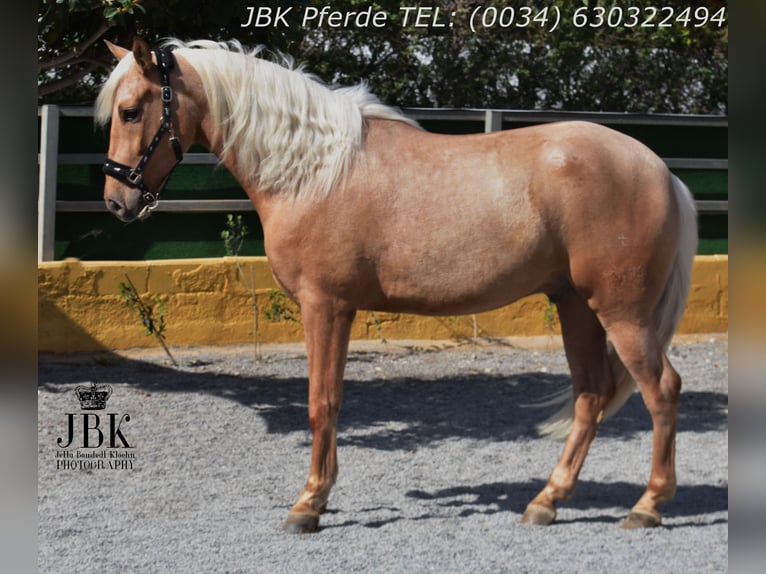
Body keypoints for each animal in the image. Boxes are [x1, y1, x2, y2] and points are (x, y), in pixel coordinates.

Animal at [97, 38, 697, 534]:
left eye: (131, 111)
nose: (116, 202)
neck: (315, 172)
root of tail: (661, 171)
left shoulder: (326, 307)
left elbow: (322, 403)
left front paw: (309, 504)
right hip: (577, 308)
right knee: (591, 396)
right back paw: (546, 501)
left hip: (622, 314)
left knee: (661, 390)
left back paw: (647, 507)